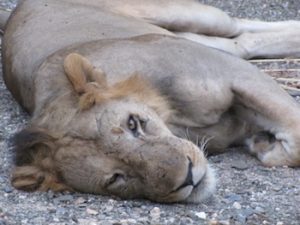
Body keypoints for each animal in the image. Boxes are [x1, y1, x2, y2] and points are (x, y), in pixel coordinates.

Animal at [1, 0, 300, 203]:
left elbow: (295, 134)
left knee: (238, 27)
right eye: (117, 177)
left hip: (192, 14)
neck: (173, 118)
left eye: (133, 124)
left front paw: (265, 146)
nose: (189, 178)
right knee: (239, 41)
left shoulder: (234, 73)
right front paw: (261, 141)